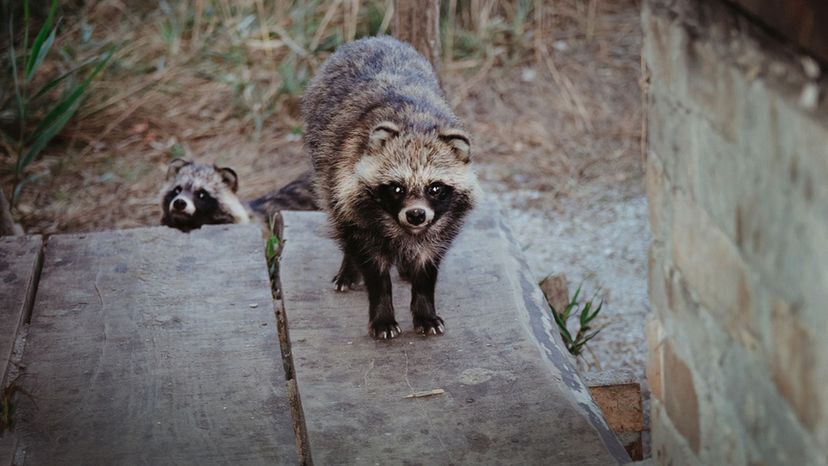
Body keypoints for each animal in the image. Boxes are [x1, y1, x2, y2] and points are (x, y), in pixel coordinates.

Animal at [306, 36, 482, 340]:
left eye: (435, 188)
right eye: (396, 188)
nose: (416, 215)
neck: (415, 125)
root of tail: (373, 39)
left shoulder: (442, 225)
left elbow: (427, 265)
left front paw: (424, 309)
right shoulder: (351, 189)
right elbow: (373, 265)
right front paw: (382, 315)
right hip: (324, 163)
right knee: (338, 216)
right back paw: (348, 266)